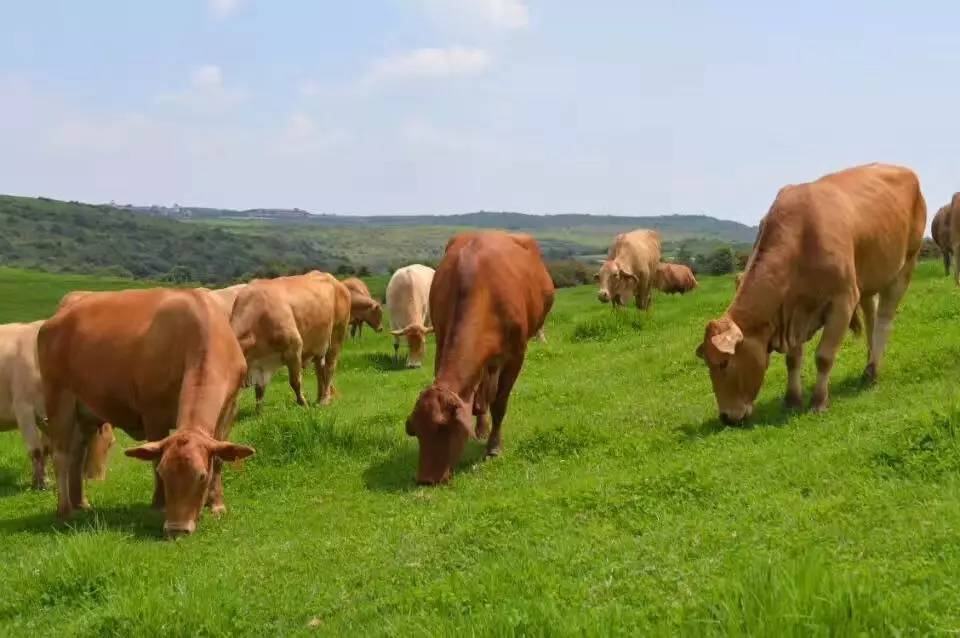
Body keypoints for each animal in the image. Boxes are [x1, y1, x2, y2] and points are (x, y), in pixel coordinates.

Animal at [0, 322, 113, 492]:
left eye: (111, 443)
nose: (98, 481)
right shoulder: (23, 409)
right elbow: (36, 451)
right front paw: (41, 483)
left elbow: (47, 449)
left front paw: (40, 479)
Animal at [39, 288, 253, 536]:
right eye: (164, 473)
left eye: (201, 476)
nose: (177, 528)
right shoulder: (153, 414)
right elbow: (154, 457)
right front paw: (159, 505)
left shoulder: (230, 409)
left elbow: (219, 458)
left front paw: (217, 504)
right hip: (58, 399)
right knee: (61, 455)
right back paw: (64, 509)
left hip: (85, 414)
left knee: (77, 453)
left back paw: (81, 503)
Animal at [231, 270, 350, 410]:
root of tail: (337, 282)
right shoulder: (261, 364)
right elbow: (259, 390)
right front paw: (258, 411)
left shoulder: (294, 348)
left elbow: (295, 381)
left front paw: (303, 404)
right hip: (319, 345)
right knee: (320, 370)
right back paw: (319, 398)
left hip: (337, 335)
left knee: (330, 367)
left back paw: (324, 400)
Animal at [404, 232, 556, 488]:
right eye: (416, 430)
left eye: (444, 427)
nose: (426, 479)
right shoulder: (442, 340)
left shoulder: (516, 356)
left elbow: (500, 403)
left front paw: (494, 447)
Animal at [700, 164, 928, 424]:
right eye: (707, 363)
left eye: (724, 363)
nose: (726, 417)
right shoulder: (792, 312)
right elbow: (792, 359)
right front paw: (792, 400)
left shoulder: (842, 301)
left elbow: (824, 357)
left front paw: (818, 402)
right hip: (869, 281)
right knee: (871, 318)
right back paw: (870, 363)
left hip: (905, 266)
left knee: (883, 322)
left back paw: (871, 372)